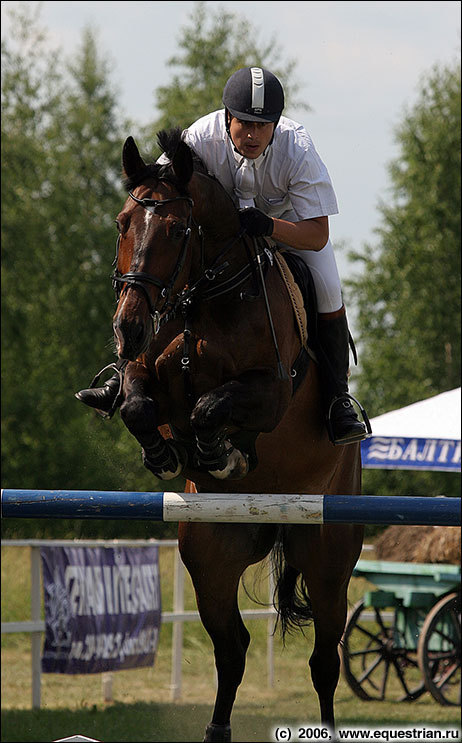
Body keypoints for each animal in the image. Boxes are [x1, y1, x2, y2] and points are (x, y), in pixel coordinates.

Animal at [109, 131, 364, 740]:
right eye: (123, 223)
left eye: (177, 231)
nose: (128, 328)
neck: (206, 296)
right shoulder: (147, 375)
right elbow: (137, 404)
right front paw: (165, 453)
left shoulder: (269, 392)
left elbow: (209, 408)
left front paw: (220, 452)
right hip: (210, 553)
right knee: (232, 648)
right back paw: (216, 730)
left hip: (327, 554)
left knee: (325, 658)